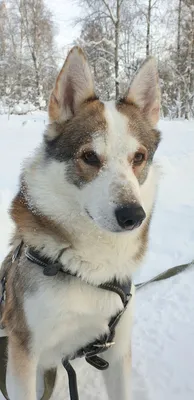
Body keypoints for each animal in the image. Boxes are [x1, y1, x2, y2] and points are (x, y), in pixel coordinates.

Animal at [0, 45, 161, 398]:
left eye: (138, 158)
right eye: (89, 157)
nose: (132, 216)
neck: (90, 268)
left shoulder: (116, 349)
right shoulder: (23, 354)